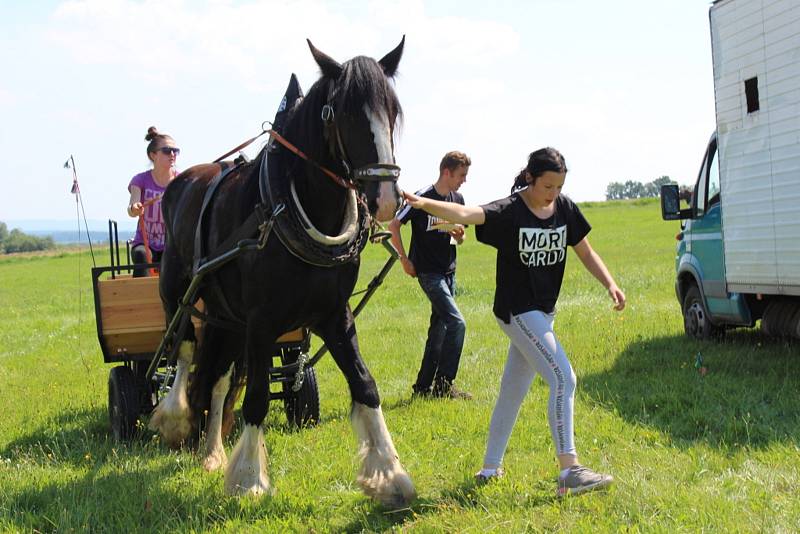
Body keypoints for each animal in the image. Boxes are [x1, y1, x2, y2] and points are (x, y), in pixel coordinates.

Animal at [147, 37, 416, 506]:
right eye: (346, 112)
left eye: (393, 112)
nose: (384, 197)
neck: (291, 208)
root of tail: (189, 177)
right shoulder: (262, 320)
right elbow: (255, 397)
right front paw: (248, 479)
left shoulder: (334, 315)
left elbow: (365, 383)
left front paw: (389, 474)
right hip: (178, 293)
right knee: (183, 349)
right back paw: (176, 417)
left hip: (226, 318)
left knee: (216, 379)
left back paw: (212, 452)